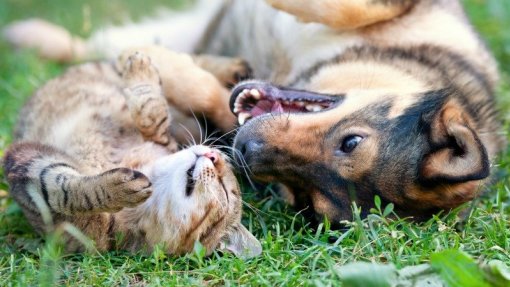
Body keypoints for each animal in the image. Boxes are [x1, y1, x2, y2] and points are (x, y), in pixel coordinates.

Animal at [4, 0, 506, 225]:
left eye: (306, 199)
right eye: (352, 140)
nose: (245, 150)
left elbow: (206, 93)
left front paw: (166, 67)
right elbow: (349, 7)